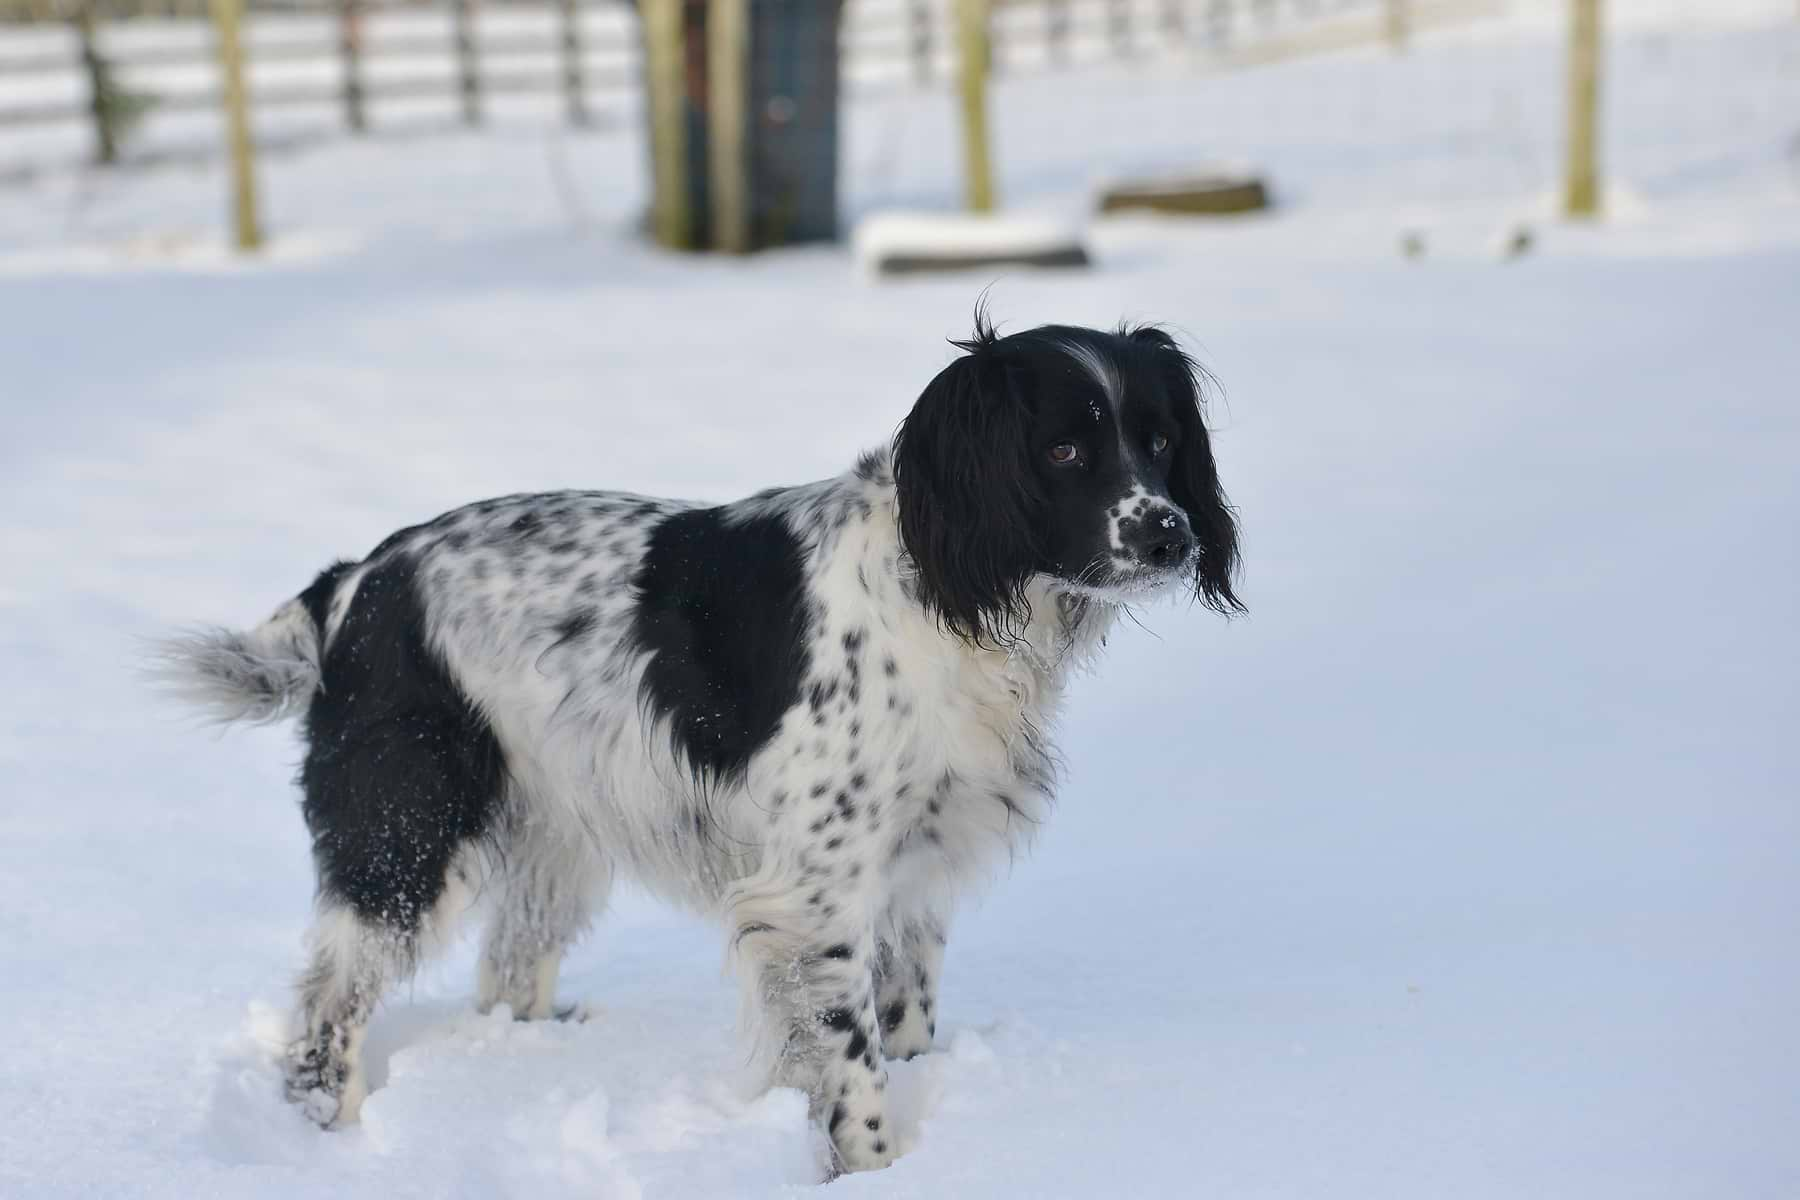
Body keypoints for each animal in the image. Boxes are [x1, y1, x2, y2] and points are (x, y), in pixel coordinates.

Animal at [158, 318, 1238, 1173]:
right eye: (1062, 452)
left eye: (1160, 438)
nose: (1171, 535)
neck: (946, 593)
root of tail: (361, 578)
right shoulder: (816, 893)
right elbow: (853, 1060)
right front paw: (874, 1169)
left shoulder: (914, 870)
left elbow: (907, 1021)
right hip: (407, 834)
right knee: (327, 1007)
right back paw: (329, 1138)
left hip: (552, 837)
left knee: (505, 976)